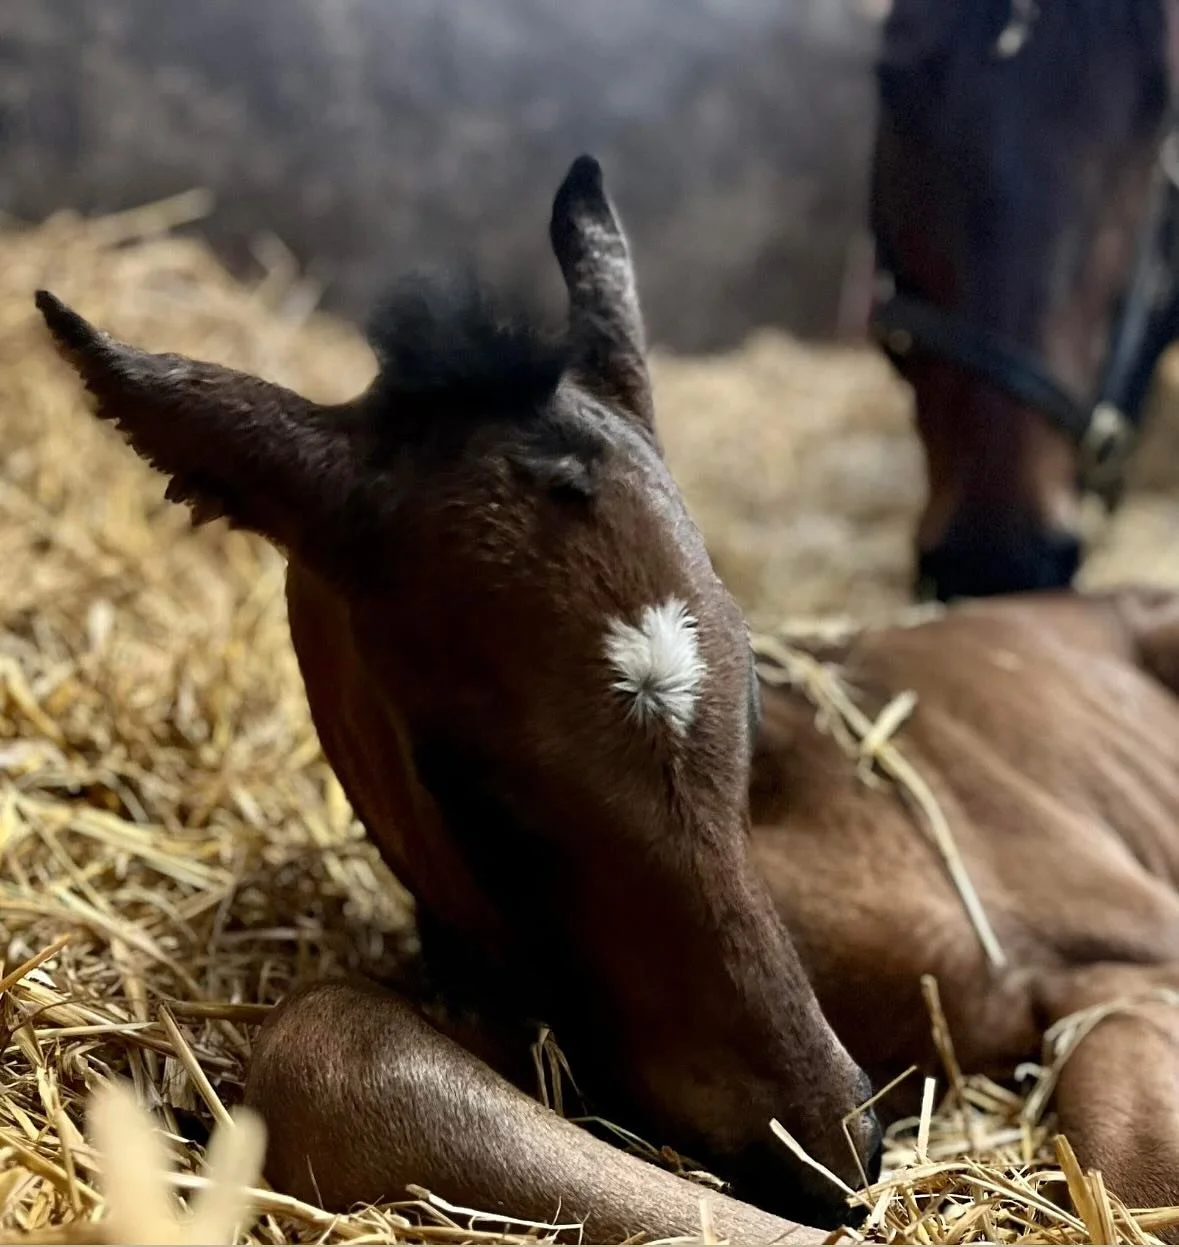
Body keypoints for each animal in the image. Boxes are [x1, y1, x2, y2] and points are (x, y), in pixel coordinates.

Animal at [38, 156, 1179, 1241]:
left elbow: (1129, 1171)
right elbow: (330, 1043)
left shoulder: (1124, 949)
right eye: (464, 780)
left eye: (748, 691)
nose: (828, 1141)